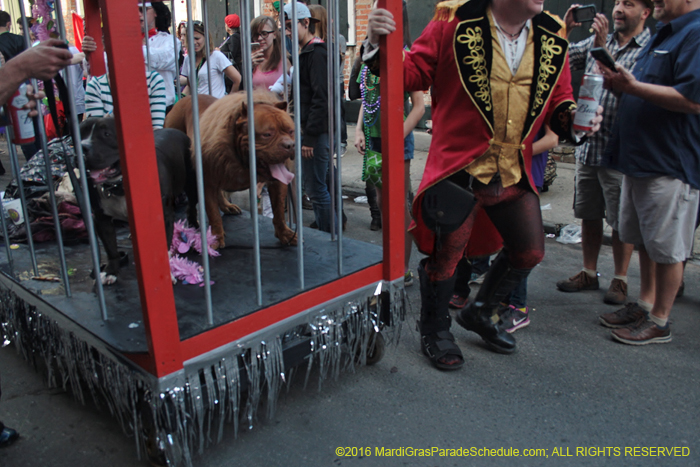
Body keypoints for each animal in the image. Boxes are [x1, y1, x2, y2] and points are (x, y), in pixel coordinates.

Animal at [80, 117, 198, 286]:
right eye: (79, 134)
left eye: (106, 134)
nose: (82, 147)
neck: (120, 186)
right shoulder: (101, 219)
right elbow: (111, 248)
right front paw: (110, 271)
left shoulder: (163, 217)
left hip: (192, 184)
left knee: (192, 207)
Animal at [168, 93, 296, 250]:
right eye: (267, 134)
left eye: (291, 131)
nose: (290, 145)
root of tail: (184, 99)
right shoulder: (207, 181)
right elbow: (213, 212)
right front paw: (215, 238)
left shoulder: (277, 183)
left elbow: (278, 209)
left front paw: (285, 234)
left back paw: (227, 207)